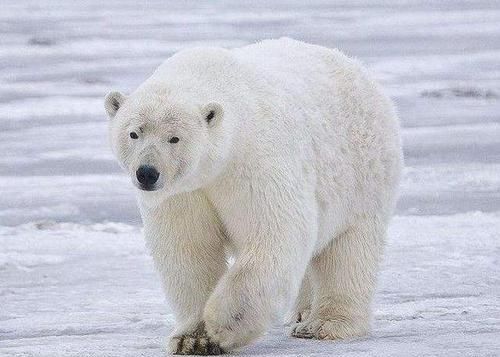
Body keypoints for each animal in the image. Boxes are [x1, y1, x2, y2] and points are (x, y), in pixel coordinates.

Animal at [104, 37, 402, 354]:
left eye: (174, 138)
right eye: (134, 133)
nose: (147, 173)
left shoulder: (254, 161)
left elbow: (275, 233)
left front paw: (223, 324)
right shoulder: (183, 192)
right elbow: (189, 249)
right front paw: (191, 338)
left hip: (363, 175)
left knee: (348, 251)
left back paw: (324, 324)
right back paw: (302, 312)